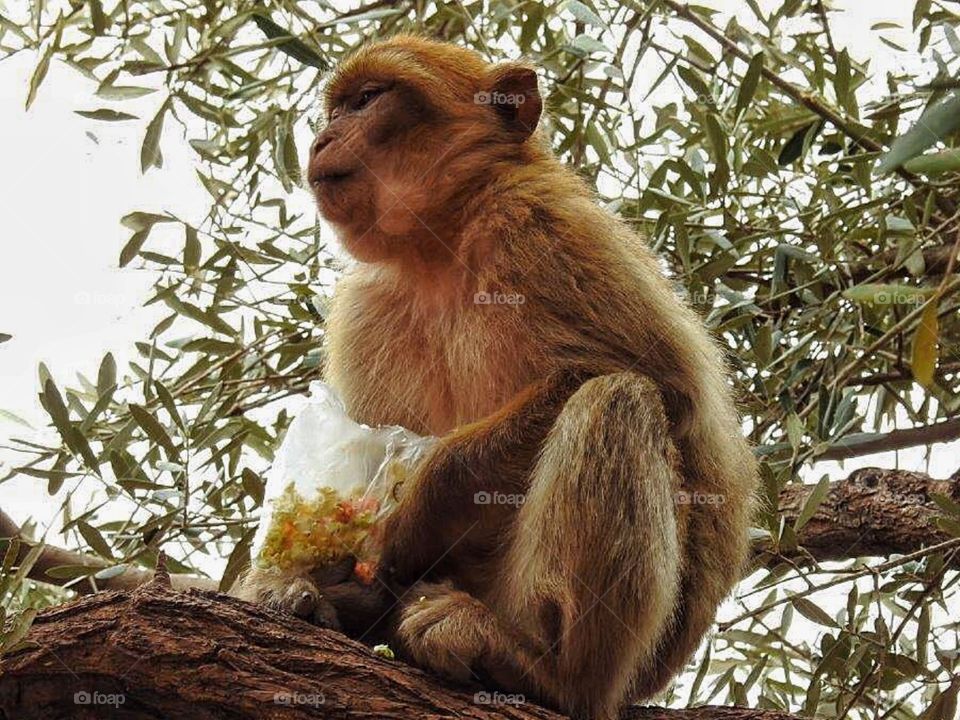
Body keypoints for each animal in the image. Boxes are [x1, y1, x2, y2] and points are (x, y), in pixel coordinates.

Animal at [233, 35, 757, 720]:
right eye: (335, 109)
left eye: (367, 100)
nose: (321, 140)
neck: (441, 246)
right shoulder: (368, 306)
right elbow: (366, 438)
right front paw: (306, 580)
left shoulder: (542, 224)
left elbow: (662, 381)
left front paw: (413, 514)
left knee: (618, 400)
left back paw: (550, 672)